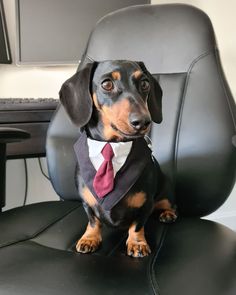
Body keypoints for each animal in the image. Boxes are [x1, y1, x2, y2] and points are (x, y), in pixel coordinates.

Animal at [60, 60, 176, 260]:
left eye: (144, 84)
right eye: (107, 84)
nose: (143, 122)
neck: (112, 145)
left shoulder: (145, 204)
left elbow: (137, 225)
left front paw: (137, 243)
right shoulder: (87, 202)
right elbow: (93, 221)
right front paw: (90, 238)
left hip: (166, 193)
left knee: (169, 204)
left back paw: (167, 214)